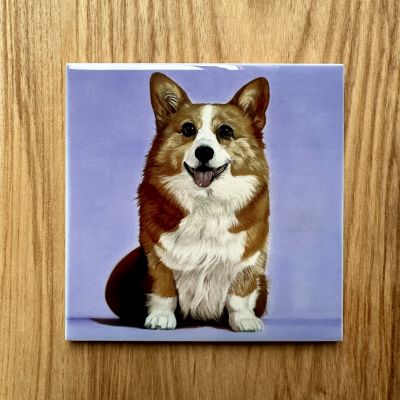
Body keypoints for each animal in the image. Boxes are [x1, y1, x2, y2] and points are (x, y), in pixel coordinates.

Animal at [105, 72, 270, 332]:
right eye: (188, 129)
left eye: (225, 131)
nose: (204, 152)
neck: (206, 202)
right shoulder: (157, 255)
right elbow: (164, 289)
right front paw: (161, 318)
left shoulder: (249, 258)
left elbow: (240, 294)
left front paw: (245, 320)